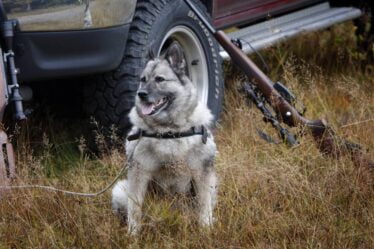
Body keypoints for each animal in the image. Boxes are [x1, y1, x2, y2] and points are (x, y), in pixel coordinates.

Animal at [110, 41, 216, 234]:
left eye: (160, 79)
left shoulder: (202, 172)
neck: (169, 130)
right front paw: (132, 234)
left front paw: (206, 229)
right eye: (143, 80)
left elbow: (204, 205)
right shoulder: (138, 172)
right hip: (121, 189)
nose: (141, 94)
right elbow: (134, 208)